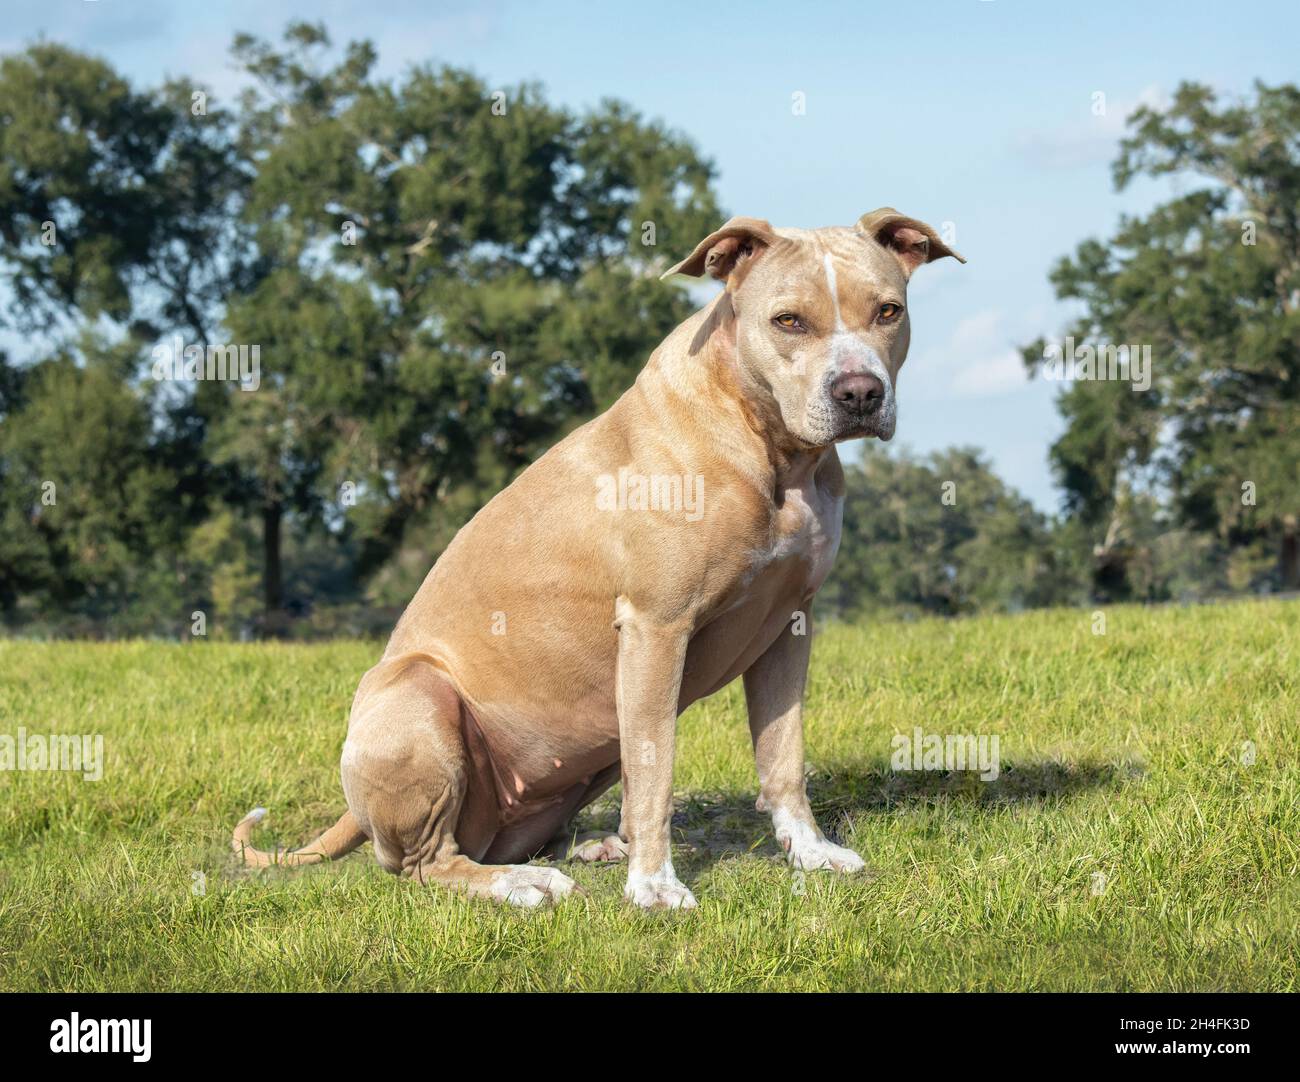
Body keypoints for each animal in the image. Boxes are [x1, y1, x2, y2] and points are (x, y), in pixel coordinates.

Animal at [233, 206, 967, 910]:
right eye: (788, 321)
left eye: (888, 311)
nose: (859, 392)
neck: (768, 444)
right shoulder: (656, 627)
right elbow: (657, 772)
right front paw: (656, 887)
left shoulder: (789, 623)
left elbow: (782, 753)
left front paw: (811, 853)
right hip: (419, 695)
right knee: (427, 863)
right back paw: (523, 886)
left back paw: (589, 850)